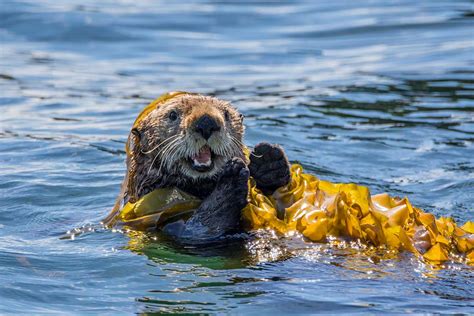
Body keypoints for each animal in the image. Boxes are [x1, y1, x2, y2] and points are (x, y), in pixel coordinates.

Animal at [111, 92, 290, 241]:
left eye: (226, 114)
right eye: (173, 115)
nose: (206, 122)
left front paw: (269, 159)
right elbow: (197, 230)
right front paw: (231, 180)